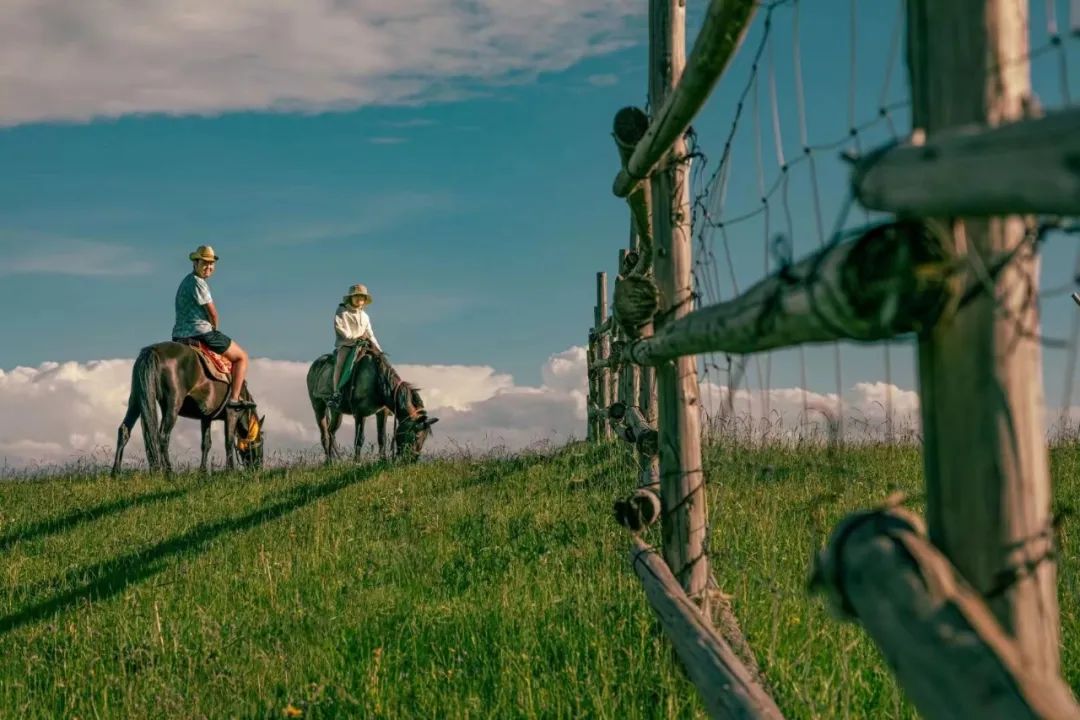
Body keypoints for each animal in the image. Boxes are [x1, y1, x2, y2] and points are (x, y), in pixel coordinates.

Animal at [112, 343, 265, 474]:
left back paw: (116, 472)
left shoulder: (206, 418)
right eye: (261, 442)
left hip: (137, 399)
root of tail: (152, 351)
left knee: (124, 430)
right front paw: (230, 471)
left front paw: (203, 472)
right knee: (163, 436)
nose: (258, 467)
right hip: (173, 404)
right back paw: (169, 472)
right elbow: (228, 442)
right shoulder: (232, 414)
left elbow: (206, 444)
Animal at [304, 347, 434, 462]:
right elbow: (359, 439)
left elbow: (381, 438)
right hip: (318, 407)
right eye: (416, 436)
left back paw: (337, 459)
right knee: (324, 435)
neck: (377, 381)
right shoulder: (359, 414)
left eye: (425, 438)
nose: (412, 460)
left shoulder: (382, 413)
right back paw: (329, 462)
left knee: (331, 431)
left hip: (336, 411)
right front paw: (357, 462)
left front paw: (382, 460)